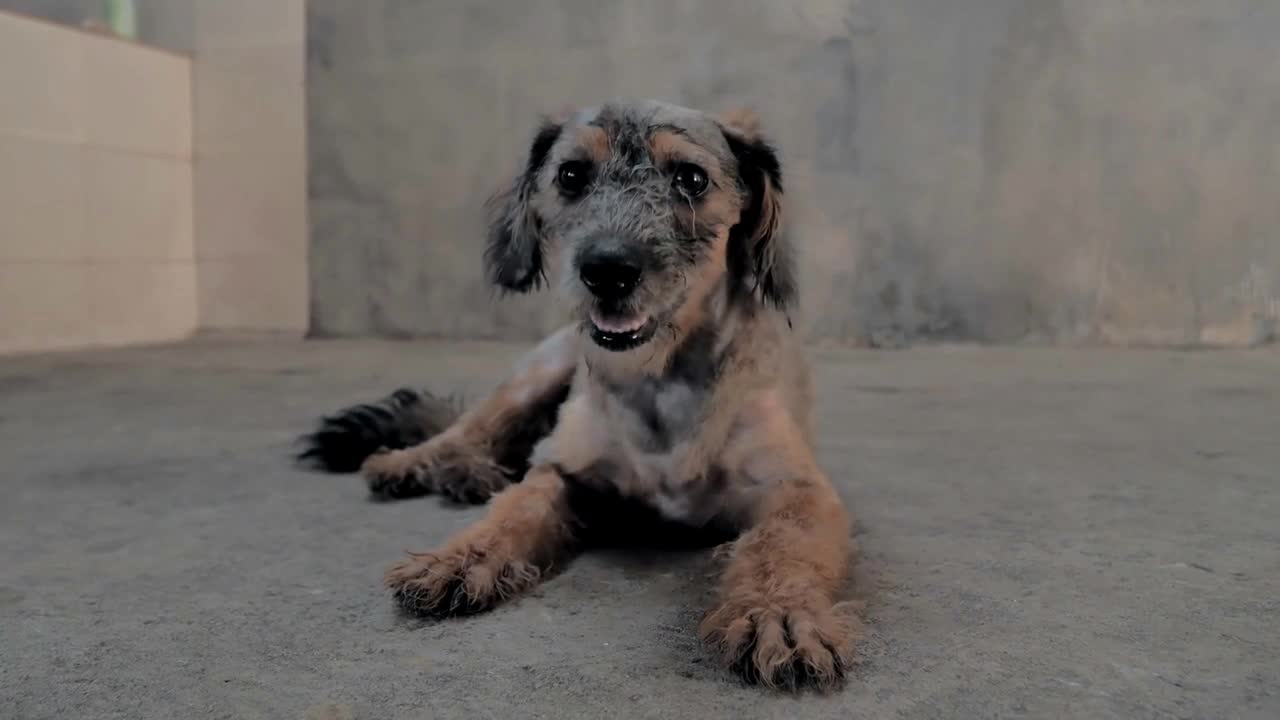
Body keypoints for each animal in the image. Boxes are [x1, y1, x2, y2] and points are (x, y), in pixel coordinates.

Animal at [299, 98, 860, 686]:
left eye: (691, 178)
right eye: (571, 175)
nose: (607, 270)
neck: (661, 383)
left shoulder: (797, 489)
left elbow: (782, 546)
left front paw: (779, 614)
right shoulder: (563, 468)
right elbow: (516, 508)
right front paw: (461, 556)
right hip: (539, 371)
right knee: (470, 428)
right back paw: (425, 463)